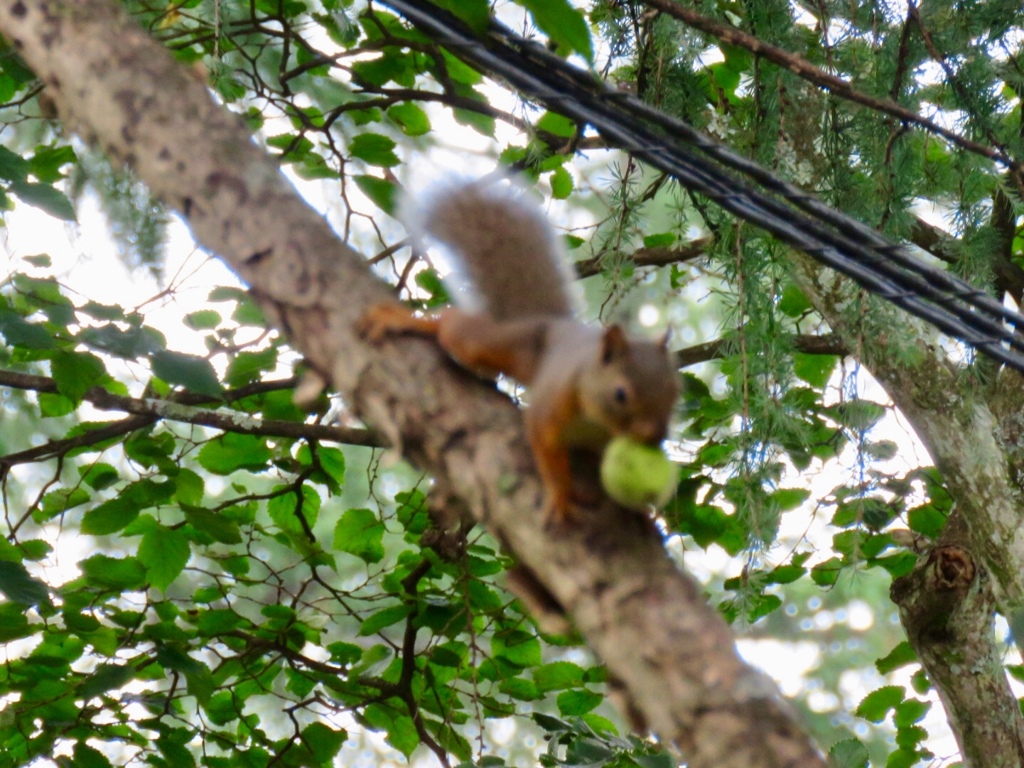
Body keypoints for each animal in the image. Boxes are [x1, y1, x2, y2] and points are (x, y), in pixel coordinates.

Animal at [360, 176, 679, 524]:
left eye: (674, 394)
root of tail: (547, 322)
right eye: (620, 395)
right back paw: (403, 320)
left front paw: (642, 513)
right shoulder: (551, 405)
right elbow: (545, 448)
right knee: (451, 325)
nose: (655, 436)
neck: (597, 422)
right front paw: (562, 497)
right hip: (492, 342)